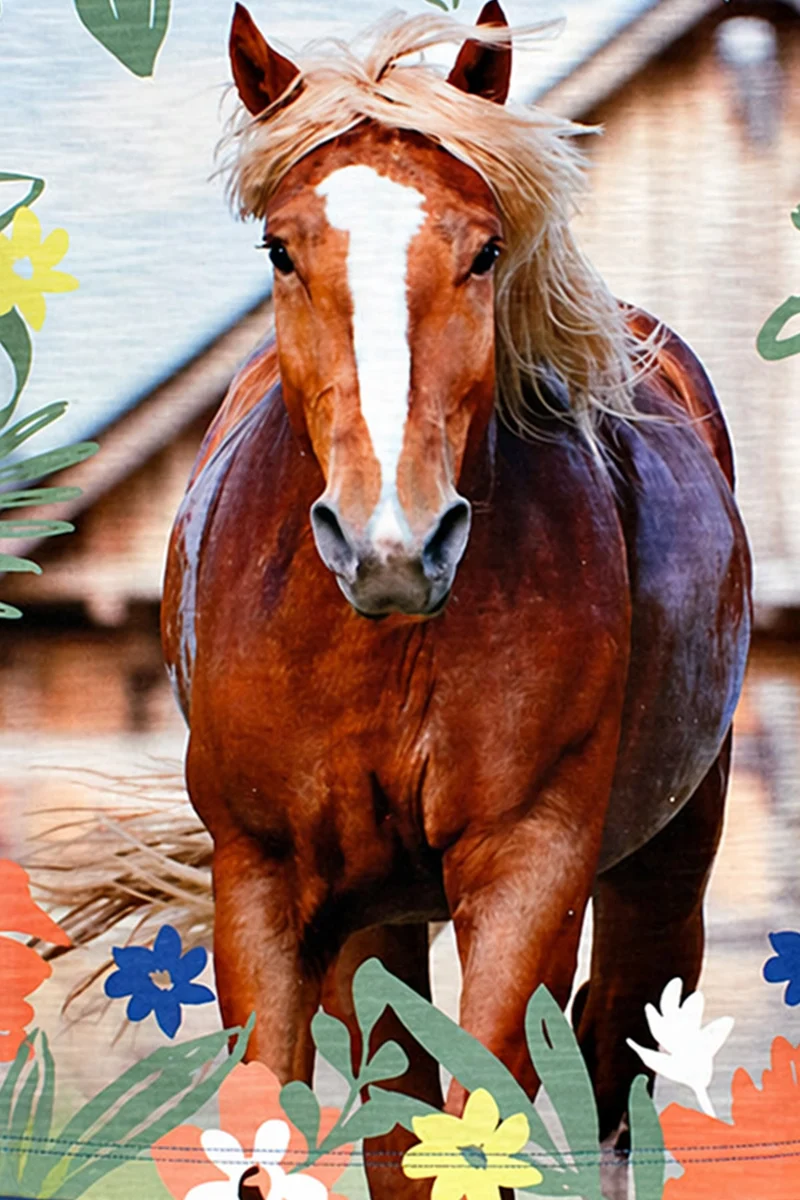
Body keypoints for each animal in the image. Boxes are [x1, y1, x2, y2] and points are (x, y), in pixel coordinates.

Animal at [161, 5, 751, 1196]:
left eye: (482, 250)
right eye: (280, 249)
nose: (392, 542)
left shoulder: (527, 871)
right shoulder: (262, 888)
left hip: (664, 875)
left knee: (611, 1057)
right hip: (374, 920)